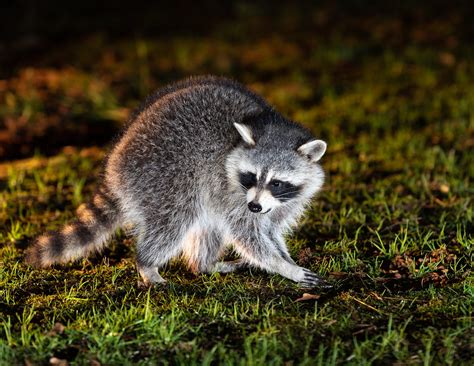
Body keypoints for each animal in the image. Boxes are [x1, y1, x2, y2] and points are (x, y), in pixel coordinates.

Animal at [25, 76, 330, 288]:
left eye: (277, 182)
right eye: (251, 176)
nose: (254, 206)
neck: (269, 125)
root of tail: (114, 163)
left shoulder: (284, 201)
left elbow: (270, 230)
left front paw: (285, 258)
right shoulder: (230, 188)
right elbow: (247, 233)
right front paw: (283, 267)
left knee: (207, 225)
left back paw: (203, 265)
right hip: (163, 174)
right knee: (175, 218)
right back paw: (147, 263)